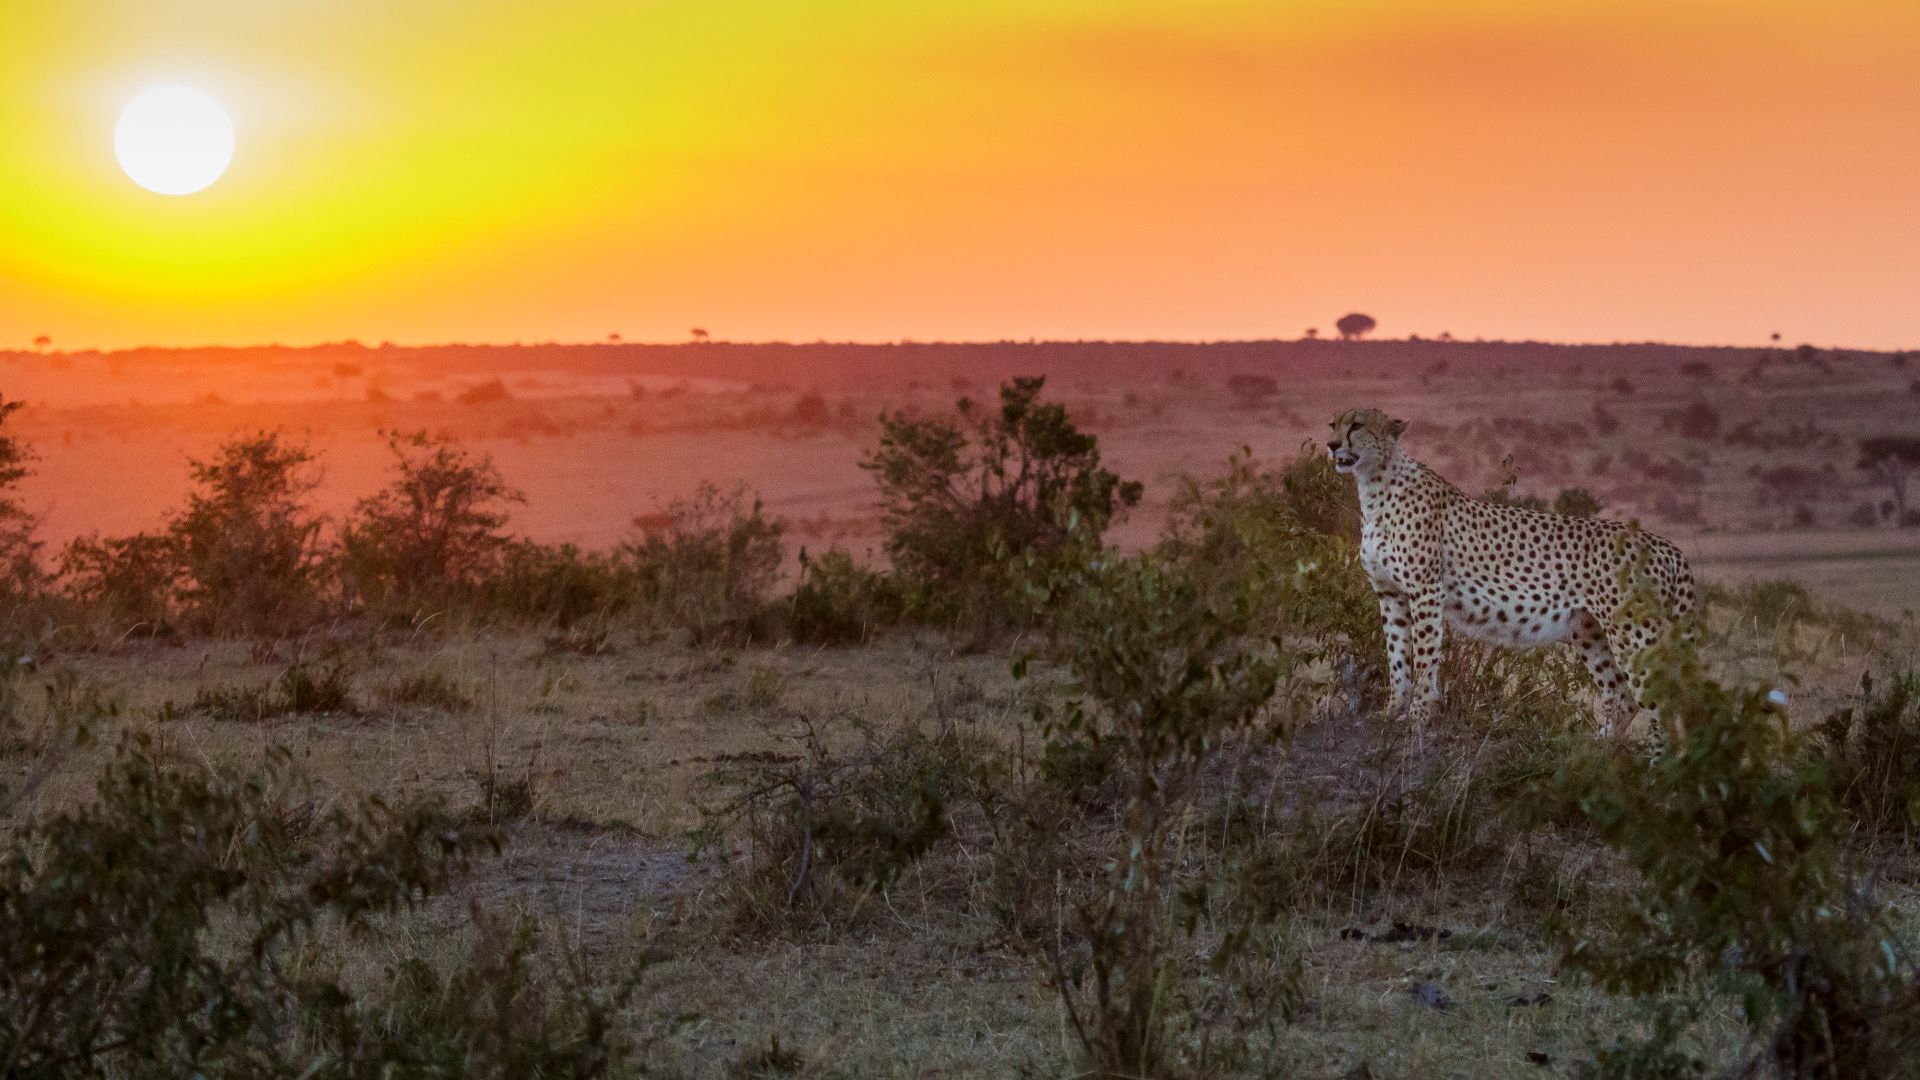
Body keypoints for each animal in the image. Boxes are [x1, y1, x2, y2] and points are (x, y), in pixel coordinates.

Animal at [1326, 407, 1695, 749]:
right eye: (1334, 424)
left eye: (1356, 425)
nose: (1331, 445)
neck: (1375, 485)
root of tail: (1664, 543)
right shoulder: (1391, 595)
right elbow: (1398, 657)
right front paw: (1393, 712)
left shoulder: (1425, 592)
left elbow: (1424, 658)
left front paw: (1419, 716)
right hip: (1589, 630)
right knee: (1622, 698)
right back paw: (1592, 750)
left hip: (1632, 633)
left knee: (1664, 704)